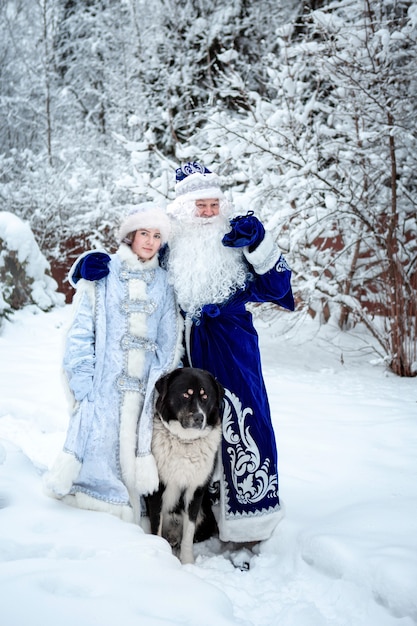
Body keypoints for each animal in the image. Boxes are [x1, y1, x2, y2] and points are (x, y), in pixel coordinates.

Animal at [146, 368, 224, 564]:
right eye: (185, 394)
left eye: (205, 397)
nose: (199, 418)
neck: (185, 442)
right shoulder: (157, 489)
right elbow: (156, 526)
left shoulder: (195, 490)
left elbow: (188, 532)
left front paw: (187, 562)